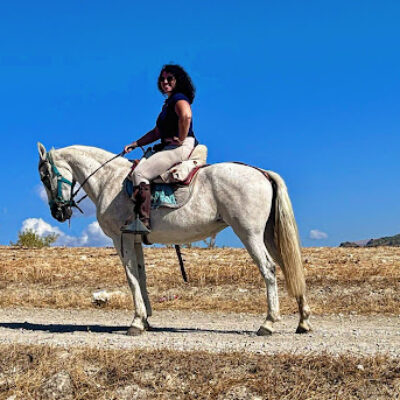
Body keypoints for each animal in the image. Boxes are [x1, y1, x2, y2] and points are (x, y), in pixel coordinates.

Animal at [37, 142, 310, 336]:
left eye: (45, 177)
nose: (58, 213)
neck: (109, 180)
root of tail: (262, 173)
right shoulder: (135, 240)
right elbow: (141, 277)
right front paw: (145, 319)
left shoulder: (121, 239)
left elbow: (131, 279)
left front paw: (136, 322)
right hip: (269, 236)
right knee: (290, 268)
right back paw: (303, 321)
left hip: (250, 234)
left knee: (269, 269)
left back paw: (268, 323)